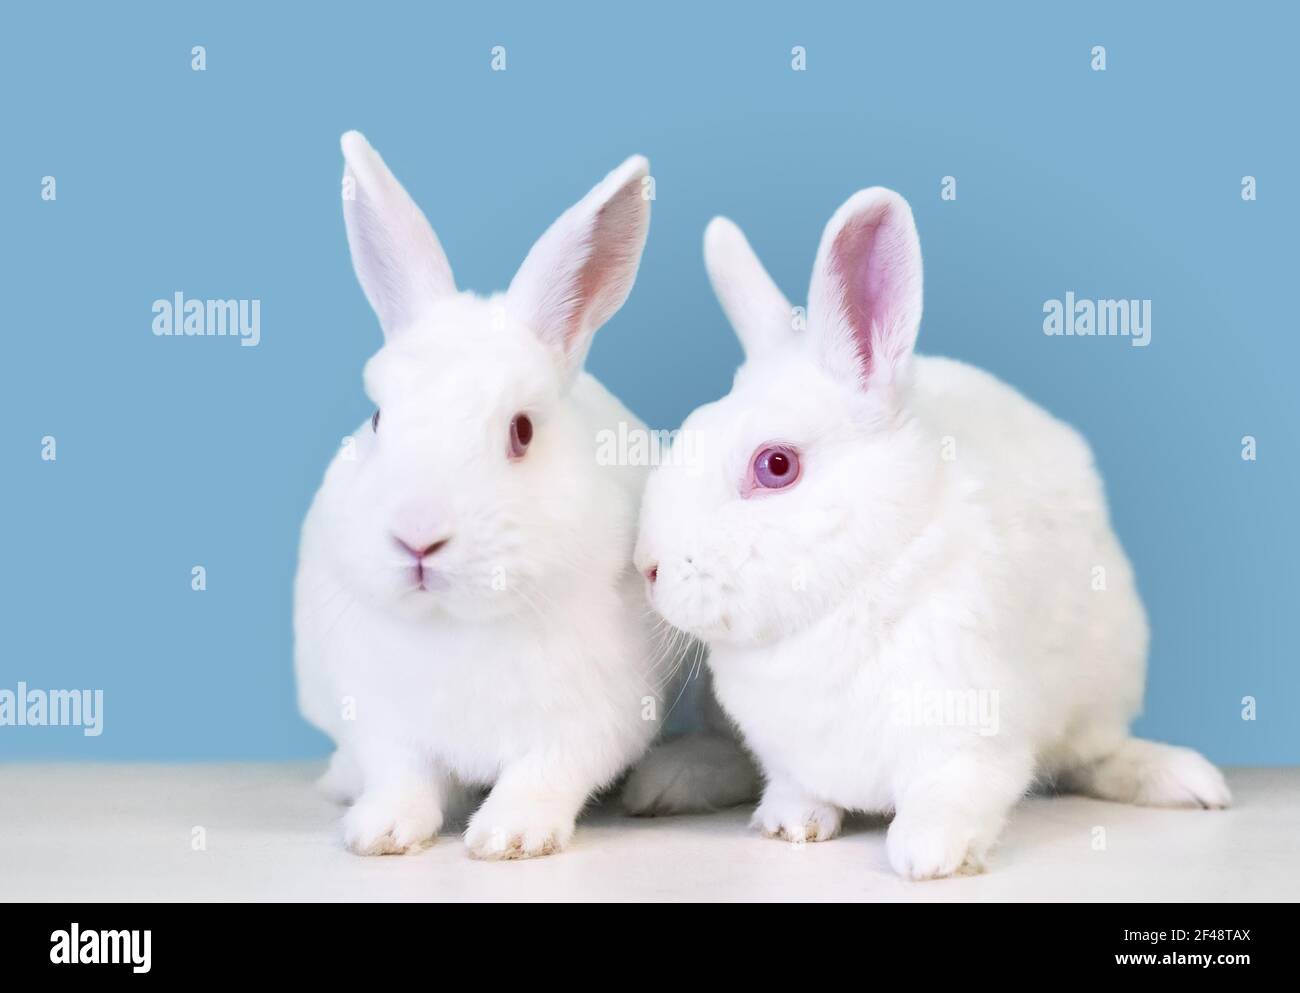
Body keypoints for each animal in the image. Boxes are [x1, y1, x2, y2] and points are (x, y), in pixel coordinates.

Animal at [295, 133, 702, 863]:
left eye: (522, 430)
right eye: (377, 418)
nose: (418, 535)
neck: (460, 622)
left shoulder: (591, 718)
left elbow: (545, 773)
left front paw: (510, 836)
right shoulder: (381, 717)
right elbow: (401, 775)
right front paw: (380, 832)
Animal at [634, 189, 1232, 878]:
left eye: (776, 465)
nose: (646, 567)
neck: (850, 590)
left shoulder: (972, 736)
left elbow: (954, 793)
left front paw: (928, 855)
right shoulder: (788, 756)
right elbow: (794, 787)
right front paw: (791, 825)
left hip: (1105, 684)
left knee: (1096, 754)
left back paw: (1188, 780)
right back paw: (665, 782)